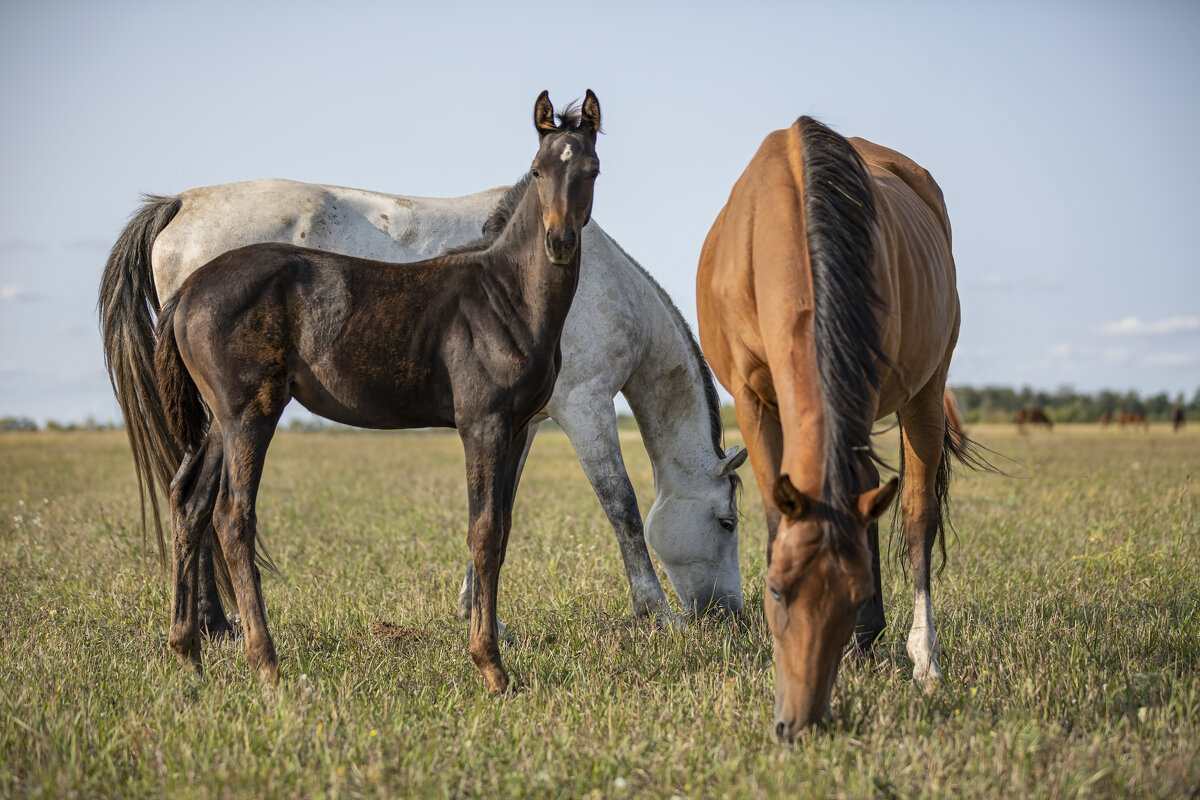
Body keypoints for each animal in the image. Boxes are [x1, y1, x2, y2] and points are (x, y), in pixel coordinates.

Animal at [151, 89, 600, 695]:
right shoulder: (482, 423)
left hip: (221, 420)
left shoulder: (518, 425)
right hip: (249, 415)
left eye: (592, 169)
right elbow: (483, 533)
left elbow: (501, 533)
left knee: (189, 502)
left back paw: (188, 655)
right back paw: (265, 664)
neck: (505, 295)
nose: (560, 243)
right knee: (232, 516)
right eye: (537, 170)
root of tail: (190, 287)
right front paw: (491, 666)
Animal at [700, 115, 969, 743]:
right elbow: (778, 522)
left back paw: (919, 658)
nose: (800, 724)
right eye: (776, 591)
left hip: (925, 390)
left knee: (917, 516)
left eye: (849, 599)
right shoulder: (751, 401)